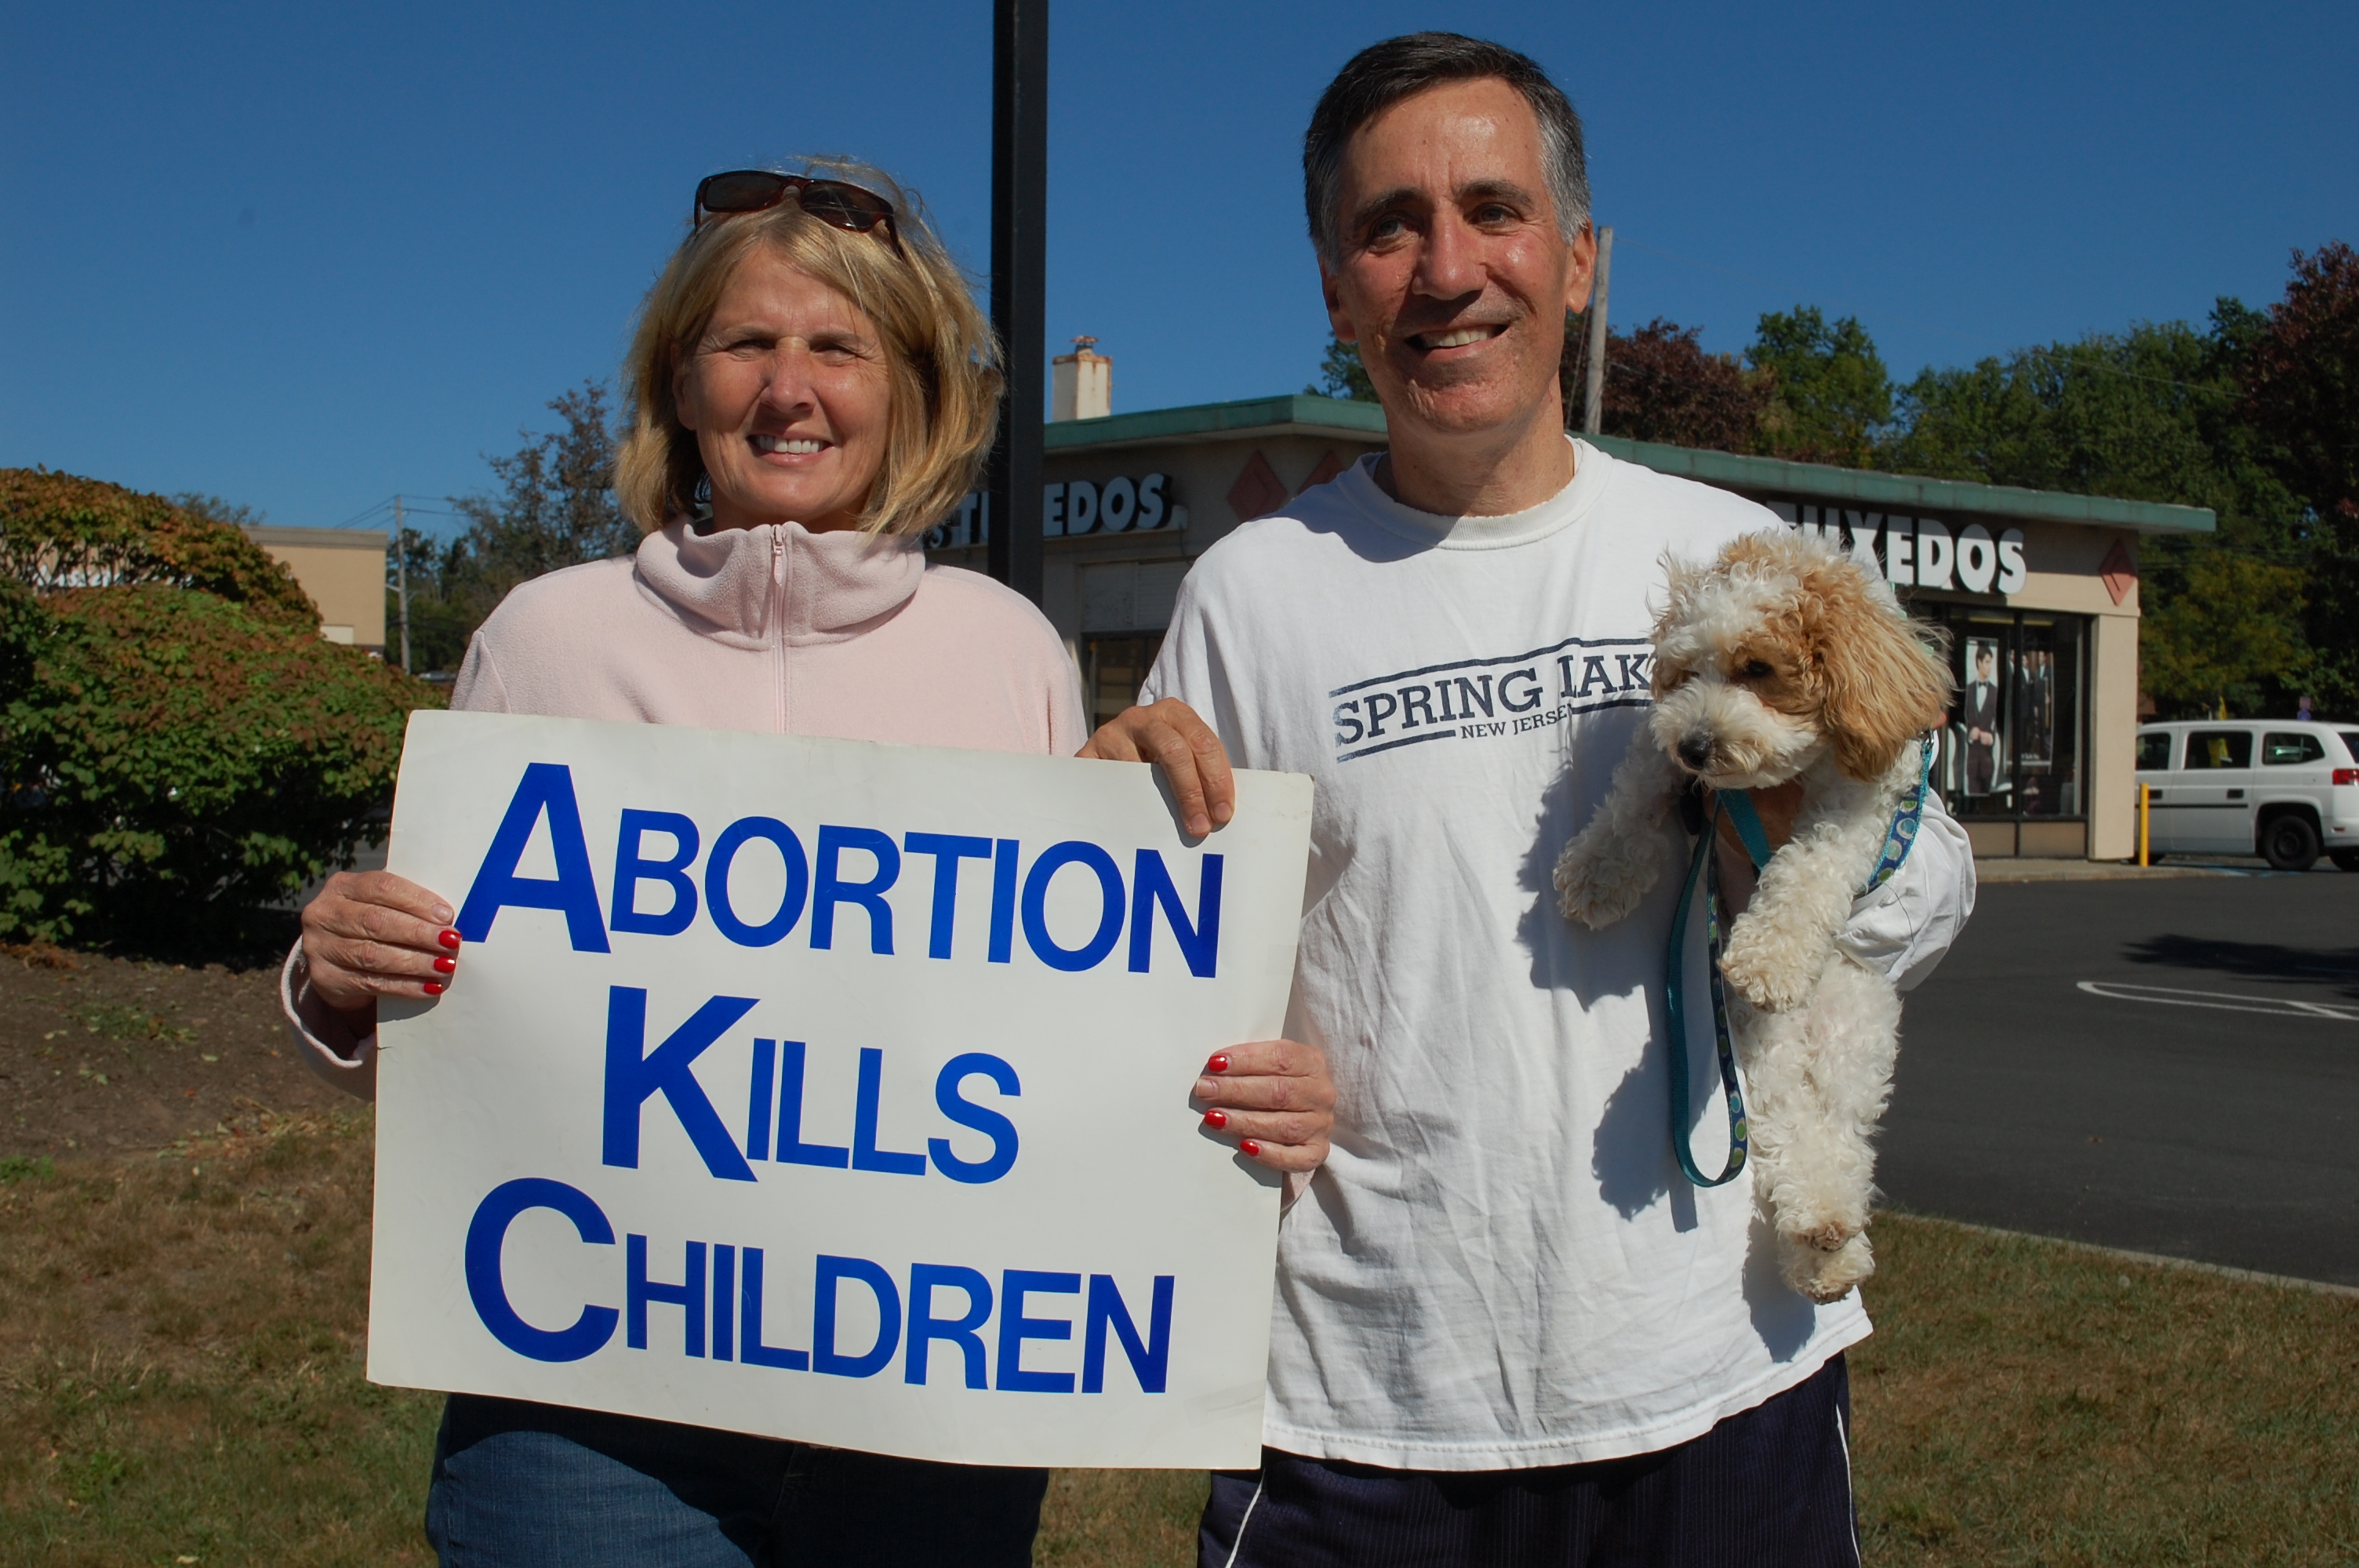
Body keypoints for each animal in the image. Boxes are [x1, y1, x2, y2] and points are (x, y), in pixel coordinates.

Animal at [1553, 529, 1953, 1302]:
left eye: (1759, 668)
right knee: (1787, 1131)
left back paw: (1831, 1241)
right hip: (1757, 1054)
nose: (1699, 746)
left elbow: (1809, 868)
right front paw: (1598, 872)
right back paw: (1822, 1244)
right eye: (1686, 672)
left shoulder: (1859, 801)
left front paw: (1770, 956)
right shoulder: (1662, 744)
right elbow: (1636, 790)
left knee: (1840, 1143)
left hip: (1850, 1043)